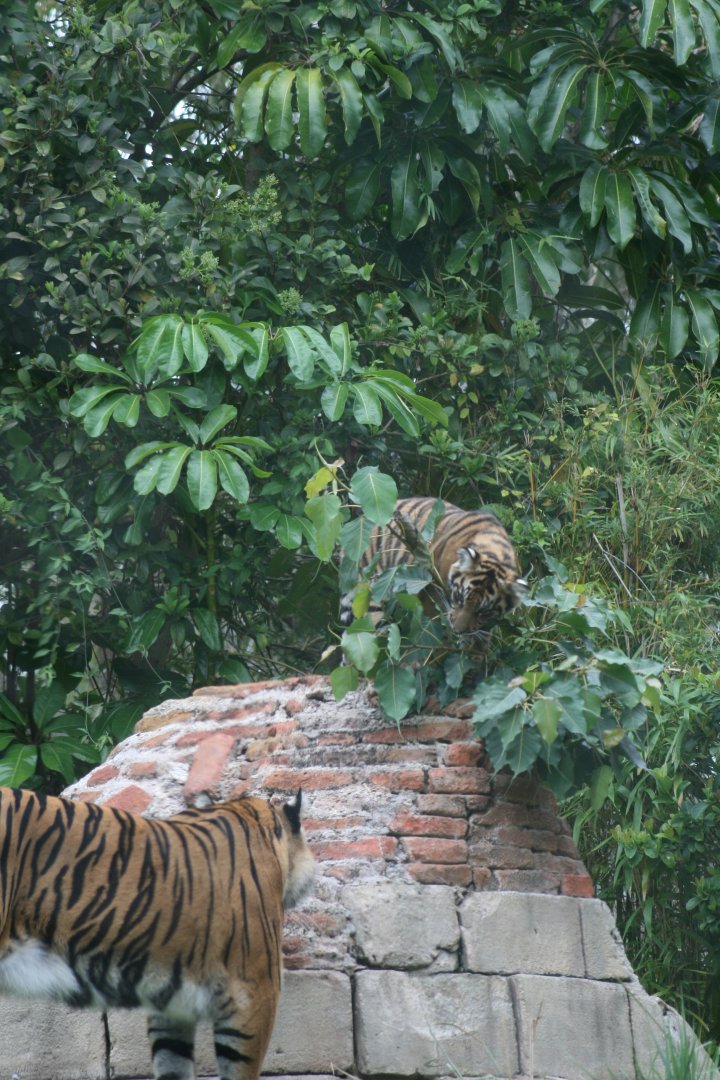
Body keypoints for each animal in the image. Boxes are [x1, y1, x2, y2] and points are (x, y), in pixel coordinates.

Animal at [341, 496, 527, 644]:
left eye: (483, 612)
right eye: (459, 598)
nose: (458, 630)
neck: (495, 552)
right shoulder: (429, 591)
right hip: (371, 596)